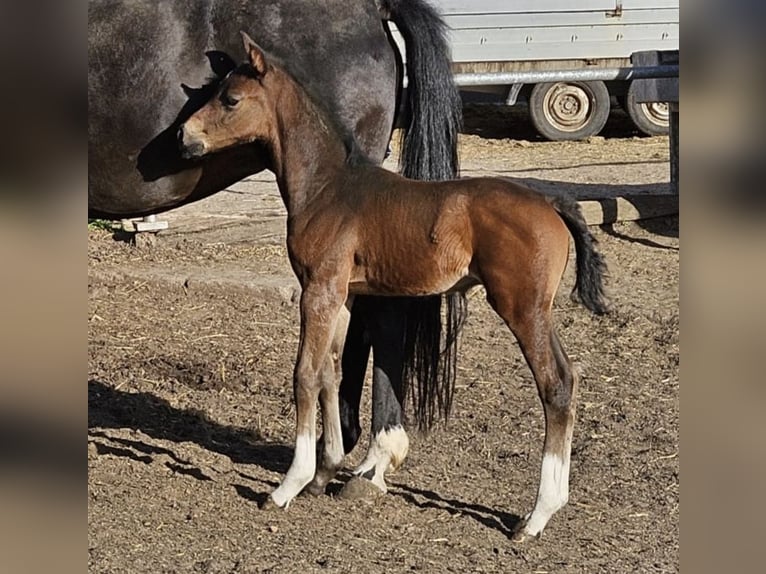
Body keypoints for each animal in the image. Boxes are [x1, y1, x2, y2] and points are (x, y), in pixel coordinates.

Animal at [178, 33, 610, 541]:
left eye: (230, 99)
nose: (185, 137)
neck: (328, 187)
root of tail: (552, 202)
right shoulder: (342, 295)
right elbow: (331, 373)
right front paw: (325, 472)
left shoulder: (319, 289)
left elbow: (304, 375)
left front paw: (288, 486)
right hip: (535, 310)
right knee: (568, 379)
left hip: (521, 308)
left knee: (555, 384)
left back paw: (536, 516)